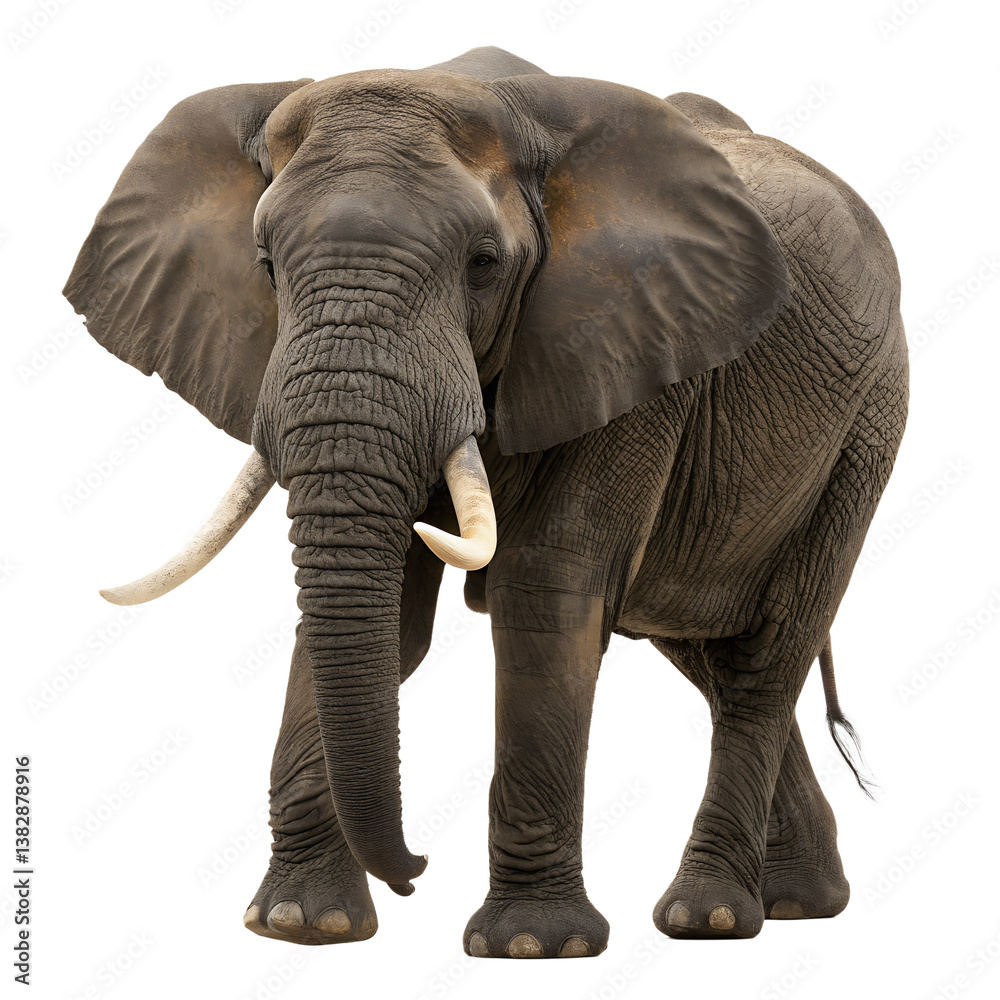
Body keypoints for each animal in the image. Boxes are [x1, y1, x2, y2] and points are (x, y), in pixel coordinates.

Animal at [63, 46, 907, 958]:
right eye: (265, 266)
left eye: (484, 264)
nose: (415, 869)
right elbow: (392, 614)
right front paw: (300, 925)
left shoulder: (624, 340)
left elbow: (548, 590)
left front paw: (533, 945)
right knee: (702, 649)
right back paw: (798, 902)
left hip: (866, 428)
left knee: (765, 658)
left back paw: (709, 916)